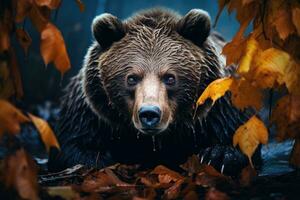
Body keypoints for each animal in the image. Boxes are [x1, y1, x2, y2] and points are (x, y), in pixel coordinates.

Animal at [49, 8, 260, 176]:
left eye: (170, 77)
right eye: (132, 78)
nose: (149, 113)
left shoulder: (219, 105)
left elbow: (239, 137)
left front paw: (217, 156)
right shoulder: (92, 111)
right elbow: (72, 145)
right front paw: (100, 158)